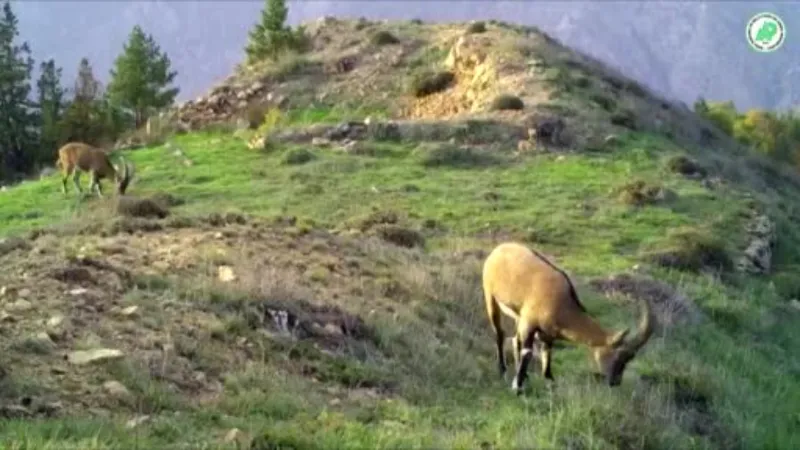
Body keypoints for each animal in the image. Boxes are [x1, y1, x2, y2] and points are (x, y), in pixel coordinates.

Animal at [484, 243, 652, 394]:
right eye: (620, 356)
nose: (615, 382)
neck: (562, 302)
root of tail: (497, 250)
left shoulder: (547, 332)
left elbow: (547, 353)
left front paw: (549, 381)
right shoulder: (529, 322)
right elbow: (527, 352)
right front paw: (517, 386)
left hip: (517, 315)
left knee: (515, 340)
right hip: (490, 297)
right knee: (500, 334)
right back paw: (502, 370)